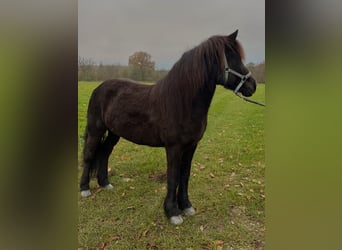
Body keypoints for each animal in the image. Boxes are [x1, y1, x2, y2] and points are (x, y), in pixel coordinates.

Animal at [80, 29, 256, 225]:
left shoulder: (191, 146)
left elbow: (184, 176)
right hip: (96, 130)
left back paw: (105, 184)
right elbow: (173, 177)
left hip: (113, 132)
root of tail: (98, 88)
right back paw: (85, 188)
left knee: (104, 153)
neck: (182, 102)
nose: (253, 86)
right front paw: (172, 212)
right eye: (232, 57)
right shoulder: (174, 147)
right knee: (89, 155)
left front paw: (186, 206)